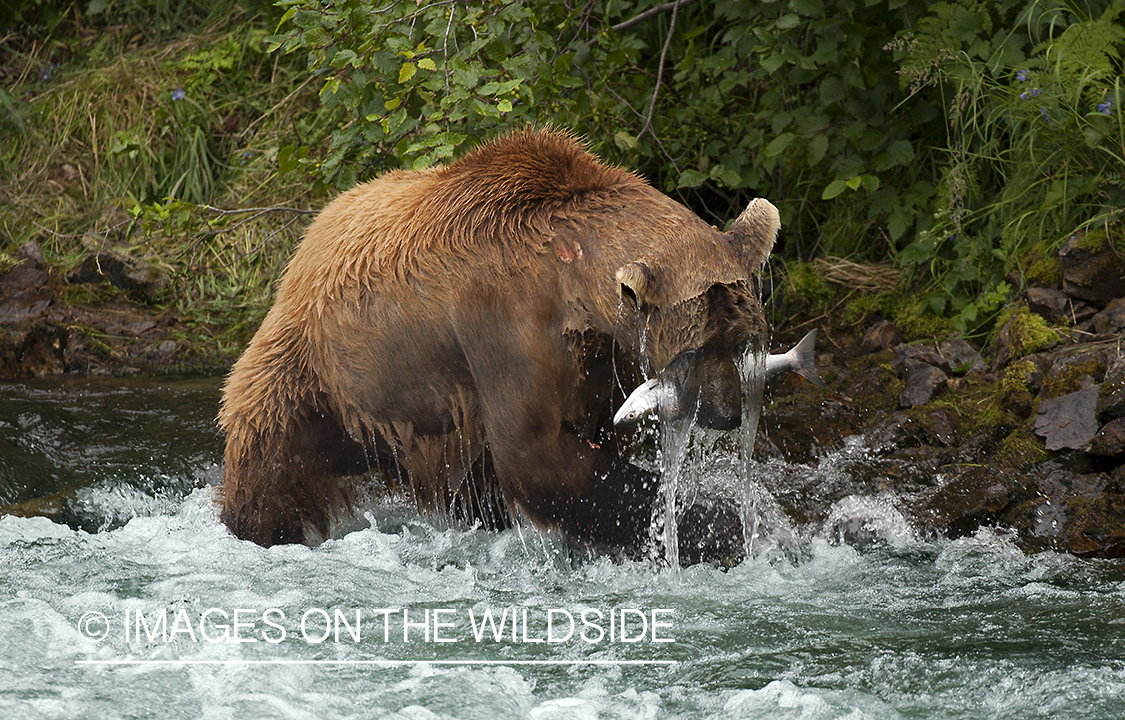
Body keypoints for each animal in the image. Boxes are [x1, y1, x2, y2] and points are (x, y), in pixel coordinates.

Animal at [214, 128, 778, 558]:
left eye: (740, 341)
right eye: (695, 349)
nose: (725, 412)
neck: (568, 282)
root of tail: (309, 238)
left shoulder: (597, 354)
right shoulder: (500, 320)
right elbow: (536, 453)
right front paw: (720, 525)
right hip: (315, 379)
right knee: (269, 470)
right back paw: (257, 529)